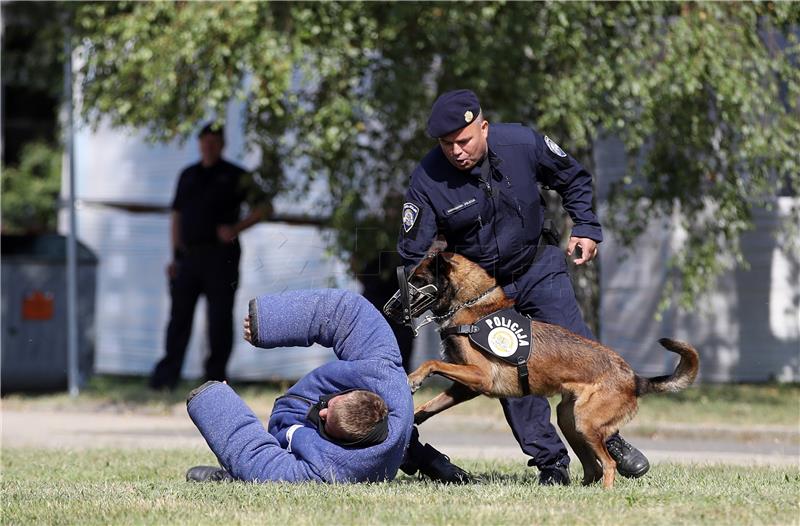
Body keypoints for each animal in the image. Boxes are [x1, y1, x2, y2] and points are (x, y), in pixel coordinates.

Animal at [404, 253, 696, 490]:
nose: (395, 306)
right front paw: (413, 418)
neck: (473, 307)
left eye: (418, 279)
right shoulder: (465, 387)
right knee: (593, 468)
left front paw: (413, 378)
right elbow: (430, 405)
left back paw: (605, 494)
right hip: (569, 420)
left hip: (585, 422)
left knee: (608, 464)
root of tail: (634, 379)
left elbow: (432, 362)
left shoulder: (480, 377)